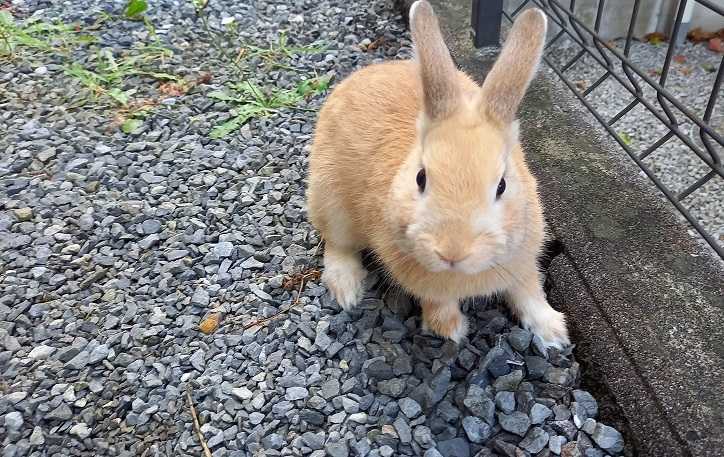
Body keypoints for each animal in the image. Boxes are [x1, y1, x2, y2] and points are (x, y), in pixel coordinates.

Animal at [304, 0, 564, 348]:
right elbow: (438, 301)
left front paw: (554, 332)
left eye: (502, 185)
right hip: (332, 204)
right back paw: (347, 289)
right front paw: (451, 329)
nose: (452, 251)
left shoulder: (523, 262)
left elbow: (529, 291)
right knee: (337, 244)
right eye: (421, 178)